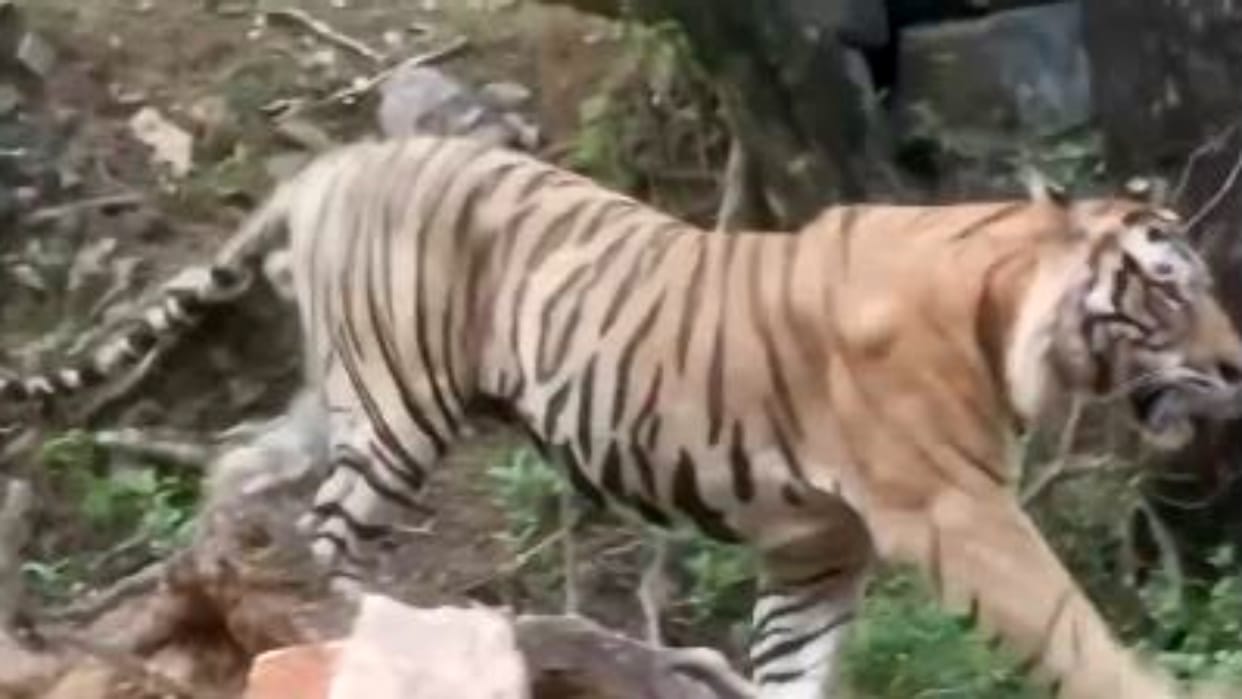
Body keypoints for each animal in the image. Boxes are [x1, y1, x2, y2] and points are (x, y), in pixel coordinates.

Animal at [4, 134, 1242, 699]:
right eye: (1170, 288)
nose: (1235, 366)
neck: (1006, 313)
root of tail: (337, 159)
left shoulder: (818, 547)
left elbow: (796, 669)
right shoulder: (957, 512)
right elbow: (1073, 628)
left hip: (340, 392)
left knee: (235, 471)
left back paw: (209, 577)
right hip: (400, 406)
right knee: (327, 538)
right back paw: (365, 620)